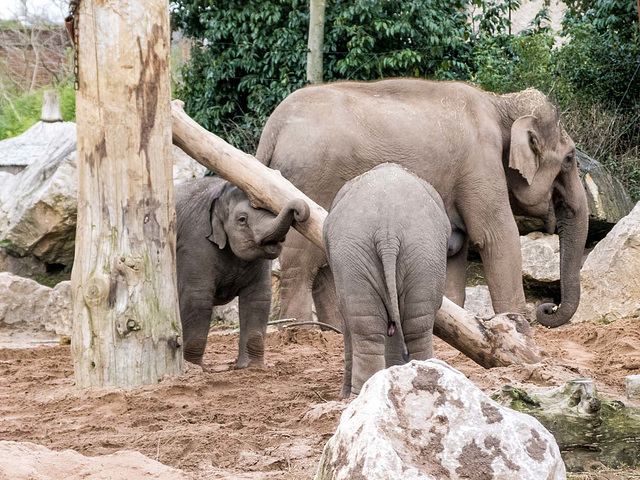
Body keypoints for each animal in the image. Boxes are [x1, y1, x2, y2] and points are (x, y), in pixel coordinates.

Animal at [176, 178, 308, 370]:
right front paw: (195, 369)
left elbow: (258, 299)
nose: (298, 212)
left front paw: (250, 367)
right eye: (242, 220)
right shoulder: (195, 243)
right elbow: (196, 299)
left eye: (271, 209)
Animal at [256, 79, 592, 328]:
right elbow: (496, 235)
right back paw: (301, 331)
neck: (501, 102)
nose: (547, 308)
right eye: (570, 158)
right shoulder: (480, 162)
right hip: (309, 181)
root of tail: (273, 128)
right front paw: (518, 324)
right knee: (300, 262)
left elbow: (456, 250)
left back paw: (333, 330)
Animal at [324, 163, 450, 396]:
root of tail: (387, 232)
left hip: (357, 253)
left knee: (366, 328)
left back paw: (359, 393)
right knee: (417, 323)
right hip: (424, 251)